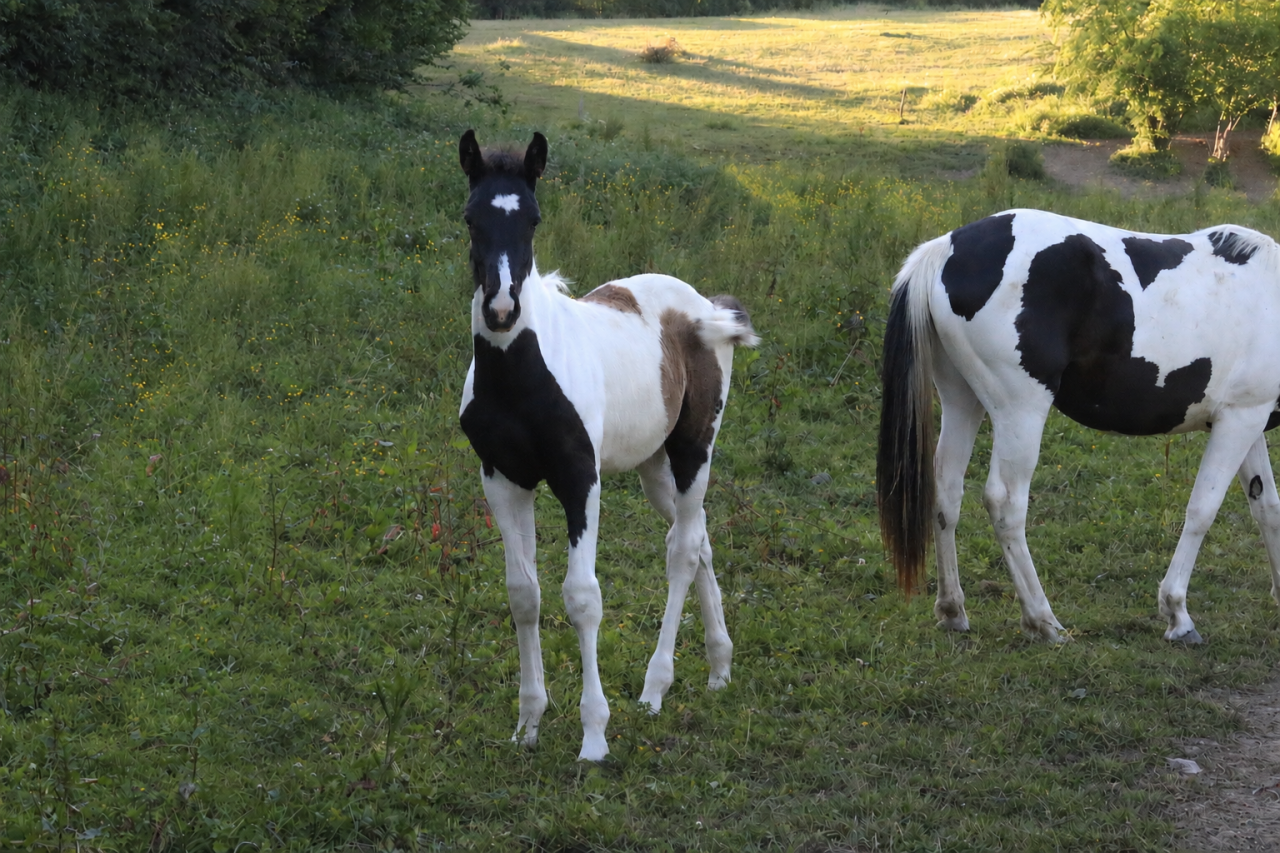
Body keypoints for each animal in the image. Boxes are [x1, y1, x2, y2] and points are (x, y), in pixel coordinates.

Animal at [457, 130, 759, 760]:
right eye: (471, 218)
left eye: (534, 218)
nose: (501, 310)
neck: (521, 372)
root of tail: (707, 308)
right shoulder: (501, 477)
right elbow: (524, 595)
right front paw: (528, 723)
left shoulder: (579, 477)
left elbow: (582, 597)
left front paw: (594, 734)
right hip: (653, 465)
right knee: (700, 538)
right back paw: (719, 666)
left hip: (694, 449)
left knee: (682, 549)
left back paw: (655, 687)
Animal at [877, 208, 1280, 644]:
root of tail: (944, 250)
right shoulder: (1239, 418)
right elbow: (1203, 509)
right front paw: (1177, 614)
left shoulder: (1250, 420)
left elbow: (1267, 507)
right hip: (1020, 411)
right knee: (1005, 503)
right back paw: (1043, 621)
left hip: (961, 401)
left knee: (946, 494)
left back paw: (953, 610)